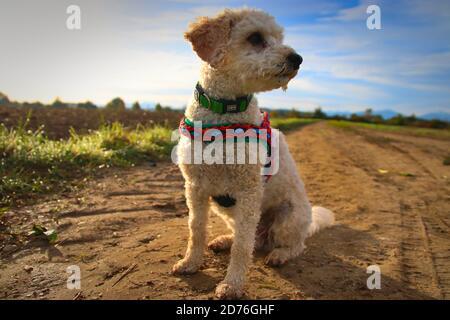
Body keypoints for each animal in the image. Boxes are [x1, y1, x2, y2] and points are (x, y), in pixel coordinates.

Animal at [172, 8, 334, 300]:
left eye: (279, 38)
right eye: (255, 38)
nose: (297, 59)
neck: (224, 115)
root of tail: (309, 221)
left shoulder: (249, 191)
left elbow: (242, 247)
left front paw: (232, 284)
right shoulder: (195, 188)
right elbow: (196, 230)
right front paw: (191, 262)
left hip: (287, 218)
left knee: (293, 245)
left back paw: (280, 254)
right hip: (225, 209)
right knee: (252, 239)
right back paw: (225, 240)